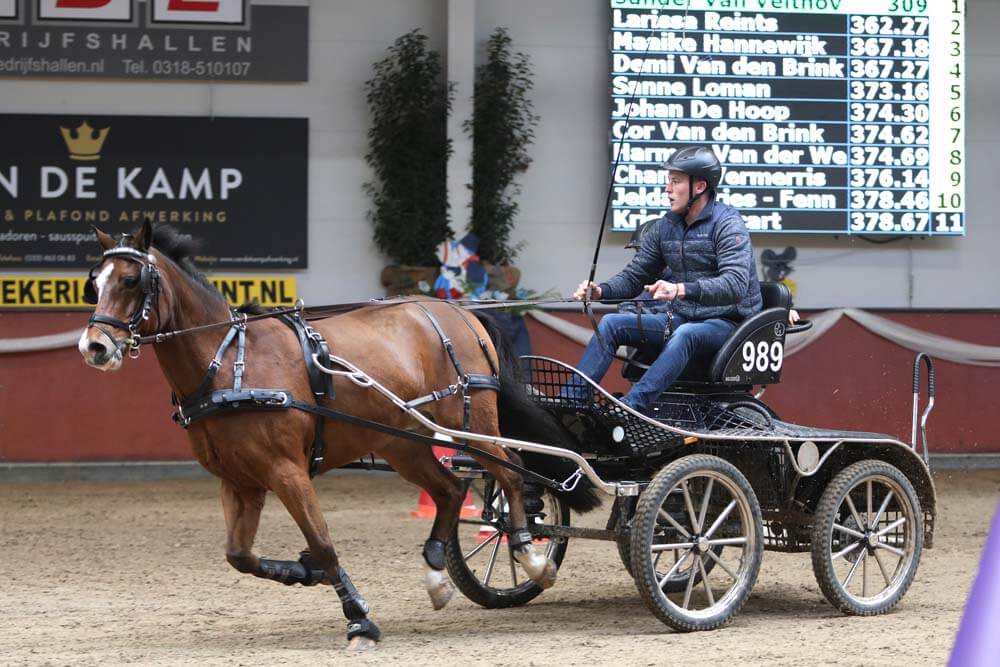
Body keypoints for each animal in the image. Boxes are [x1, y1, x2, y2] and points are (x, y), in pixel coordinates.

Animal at [78, 222, 596, 648]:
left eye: (131, 280)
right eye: (94, 282)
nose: (93, 347)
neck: (228, 361)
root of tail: (459, 314)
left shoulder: (285, 470)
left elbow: (324, 542)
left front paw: (358, 617)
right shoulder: (239, 480)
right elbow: (239, 555)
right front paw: (302, 570)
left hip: (473, 425)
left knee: (512, 475)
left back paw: (531, 558)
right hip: (403, 442)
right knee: (451, 490)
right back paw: (436, 573)